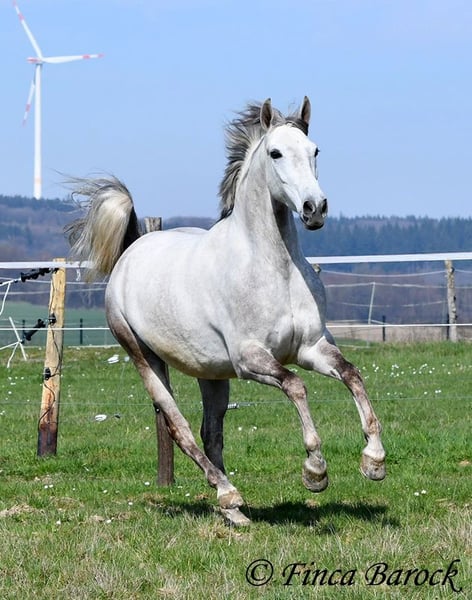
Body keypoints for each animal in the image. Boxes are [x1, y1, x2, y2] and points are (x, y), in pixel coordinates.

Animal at [66, 97, 385, 526]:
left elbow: (352, 374)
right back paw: (228, 494)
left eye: (315, 150)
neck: (274, 268)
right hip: (144, 357)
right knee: (179, 428)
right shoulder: (251, 359)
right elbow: (296, 386)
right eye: (275, 152)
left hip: (212, 374)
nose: (314, 208)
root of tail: (131, 250)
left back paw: (233, 507)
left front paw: (374, 462)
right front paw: (315, 471)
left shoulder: (312, 347)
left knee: (210, 432)